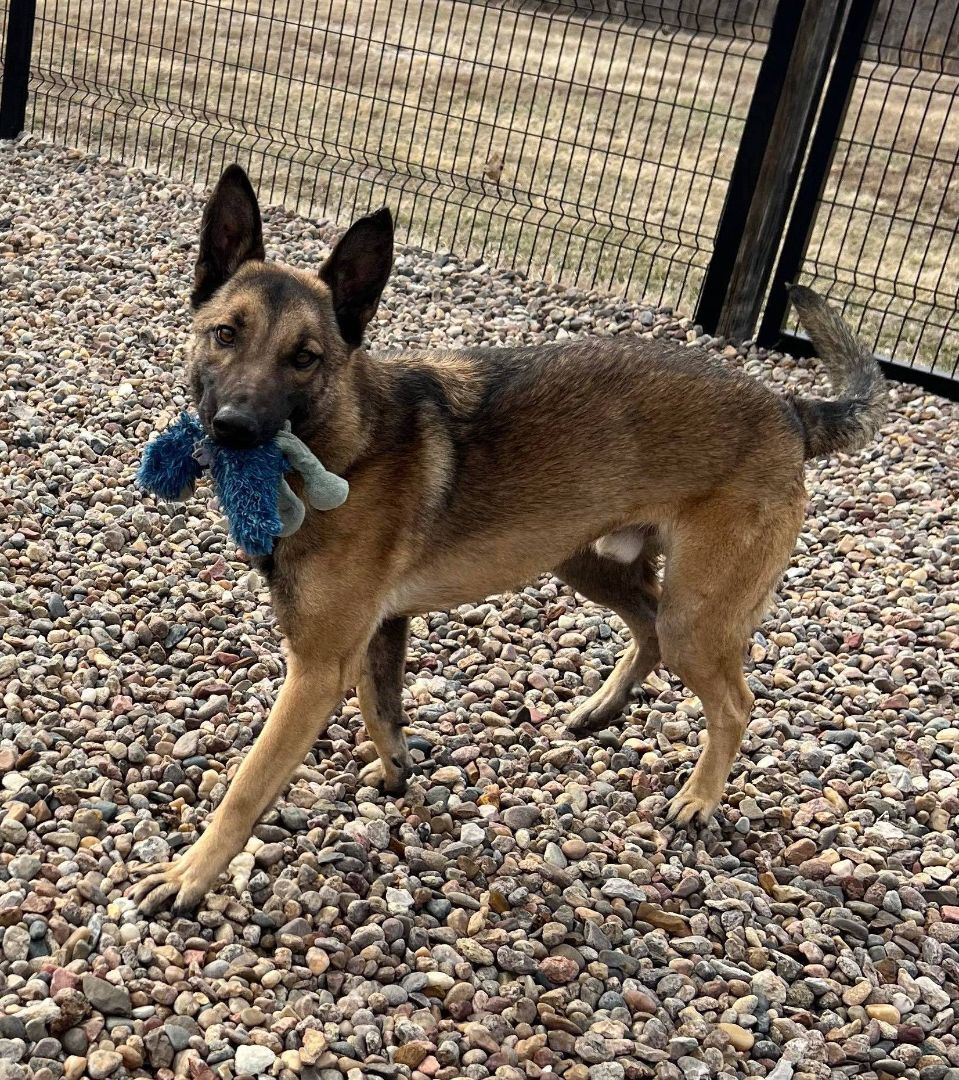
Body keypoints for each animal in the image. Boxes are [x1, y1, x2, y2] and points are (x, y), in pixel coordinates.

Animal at [131, 164, 889, 915]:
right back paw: (601, 709)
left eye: (305, 358)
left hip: (693, 619)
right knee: (645, 630)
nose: (231, 428)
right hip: (589, 565)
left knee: (733, 702)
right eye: (225, 335)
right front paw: (396, 773)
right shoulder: (378, 634)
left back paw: (699, 796)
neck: (348, 439)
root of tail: (787, 407)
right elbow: (381, 711)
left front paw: (191, 873)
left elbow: (249, 783)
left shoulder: (317, 668)